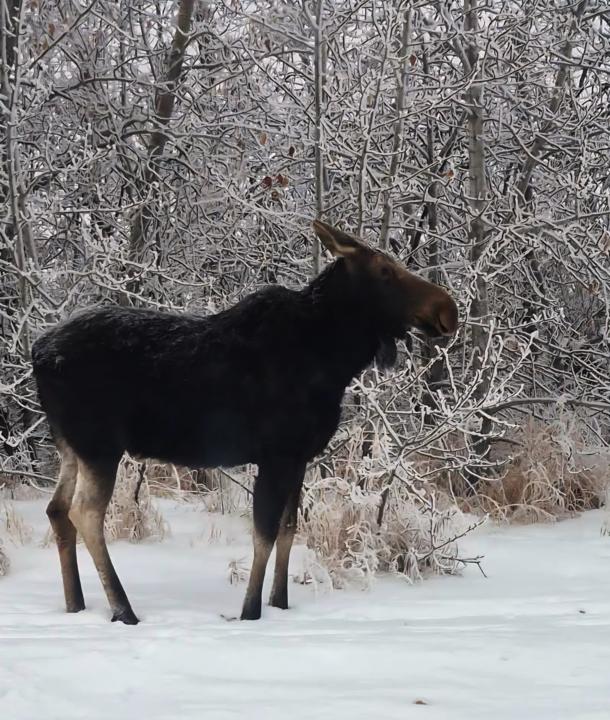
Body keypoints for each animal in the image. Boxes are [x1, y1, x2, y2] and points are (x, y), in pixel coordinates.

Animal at [31, 220, 458, 625]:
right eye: (386, 270)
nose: (447, 309)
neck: (334, 360)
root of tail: (37, 352)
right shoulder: (276, 454)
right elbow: (264, 534)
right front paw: (250, 611)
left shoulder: (299, 457)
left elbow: (288, 530)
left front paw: (280, 604)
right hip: (100, 444)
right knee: (85, 513)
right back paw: (123, 610)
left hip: (70, 445)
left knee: (56, 509)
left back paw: (76, 604)